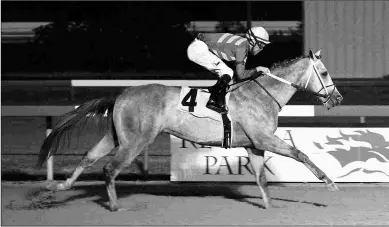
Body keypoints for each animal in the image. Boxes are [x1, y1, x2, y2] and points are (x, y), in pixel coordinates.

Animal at [38, 49, 342, 211]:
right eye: (325, 73)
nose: (337, 98)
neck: (262, 94)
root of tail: (122, 94)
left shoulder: (253, 144)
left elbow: (261, 178)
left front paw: (269, 207)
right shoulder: (264, 138)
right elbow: (300, 154)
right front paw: (329, 182)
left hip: (117, 136)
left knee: (89, 156)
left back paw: (60, 185)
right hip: (136, 141)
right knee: (109, 168)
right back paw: (115, 206)